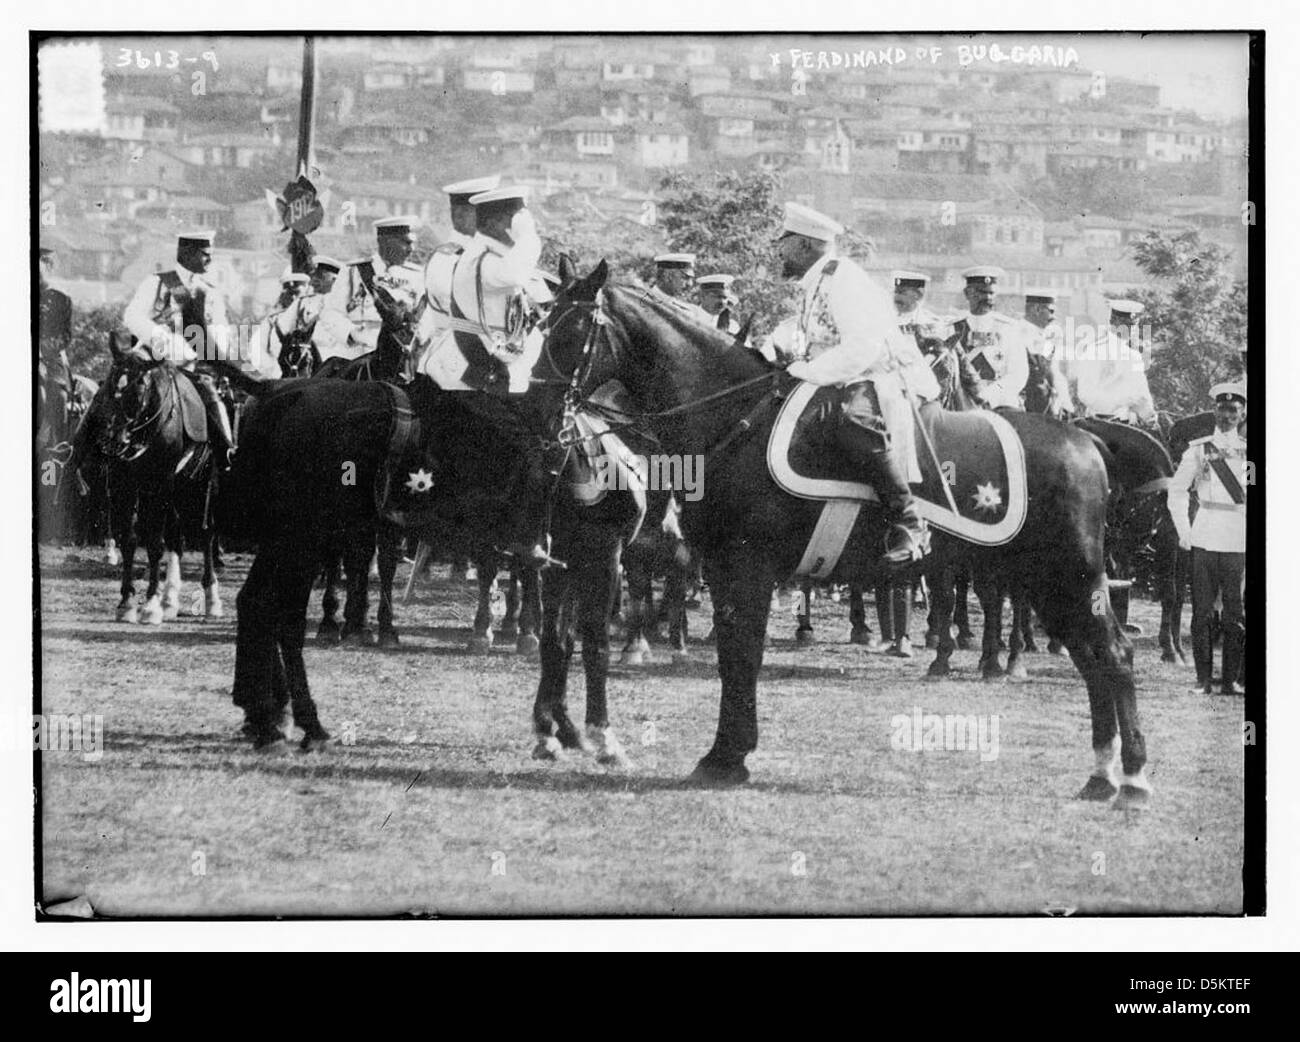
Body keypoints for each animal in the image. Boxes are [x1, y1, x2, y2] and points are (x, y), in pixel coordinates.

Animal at [98, 345, 223, 626]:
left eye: (138, 391)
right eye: (110, 385)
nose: (113, 440)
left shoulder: (160, 484)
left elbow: (155, 543)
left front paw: (151, 605)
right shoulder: (125, 486)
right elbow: (129, 540)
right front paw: (127, 603)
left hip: (201, 486)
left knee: (207, 534)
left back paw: (211, 600)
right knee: (176, 536)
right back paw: (170, 601)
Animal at [551, 267, 1149, 805]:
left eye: (571, 331)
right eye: (540, 321)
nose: (547, 410)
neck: (735, 419)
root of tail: (1086, 442)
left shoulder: (747, 568)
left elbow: (741, 657)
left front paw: (726, 757)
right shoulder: (723, 570)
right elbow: (732, 656)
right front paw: (728, 754)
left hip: (1074, 581)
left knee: (1115, 656)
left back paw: (1133, 780)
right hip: (1048, 585)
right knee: (1091, 660)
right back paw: (1101, 776)